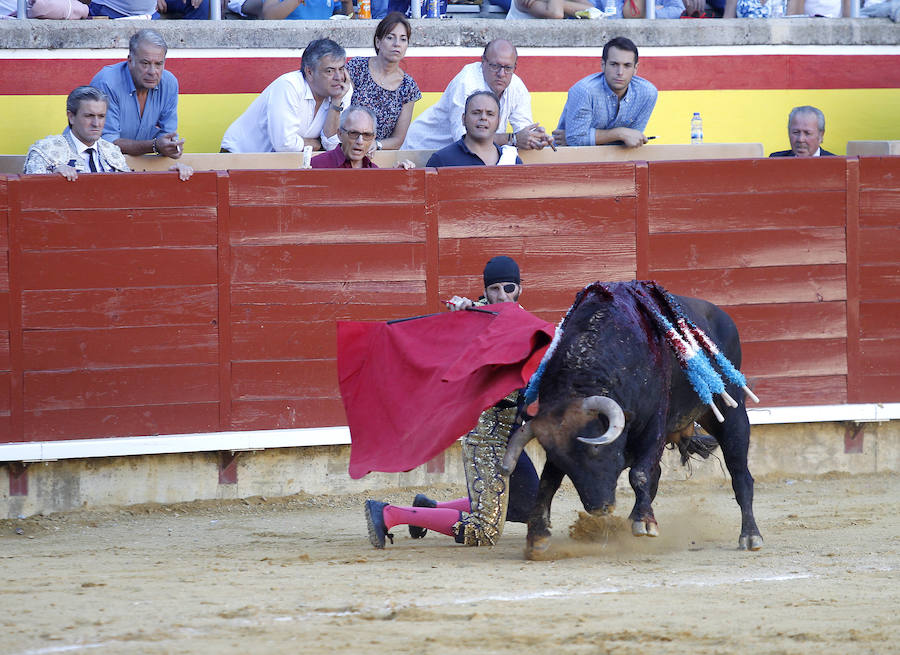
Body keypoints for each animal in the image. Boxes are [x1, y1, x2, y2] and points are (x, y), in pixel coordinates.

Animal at [502, 282, 764, 560]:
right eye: (565, 462)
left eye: (596, 449)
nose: (600, 507)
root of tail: (723, 317)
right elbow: (547, 483)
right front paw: (537, 536)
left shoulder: (655, 424)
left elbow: (639, 474)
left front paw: (645, 523)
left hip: (731, 412)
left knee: (740, 474)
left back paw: (750, 536)